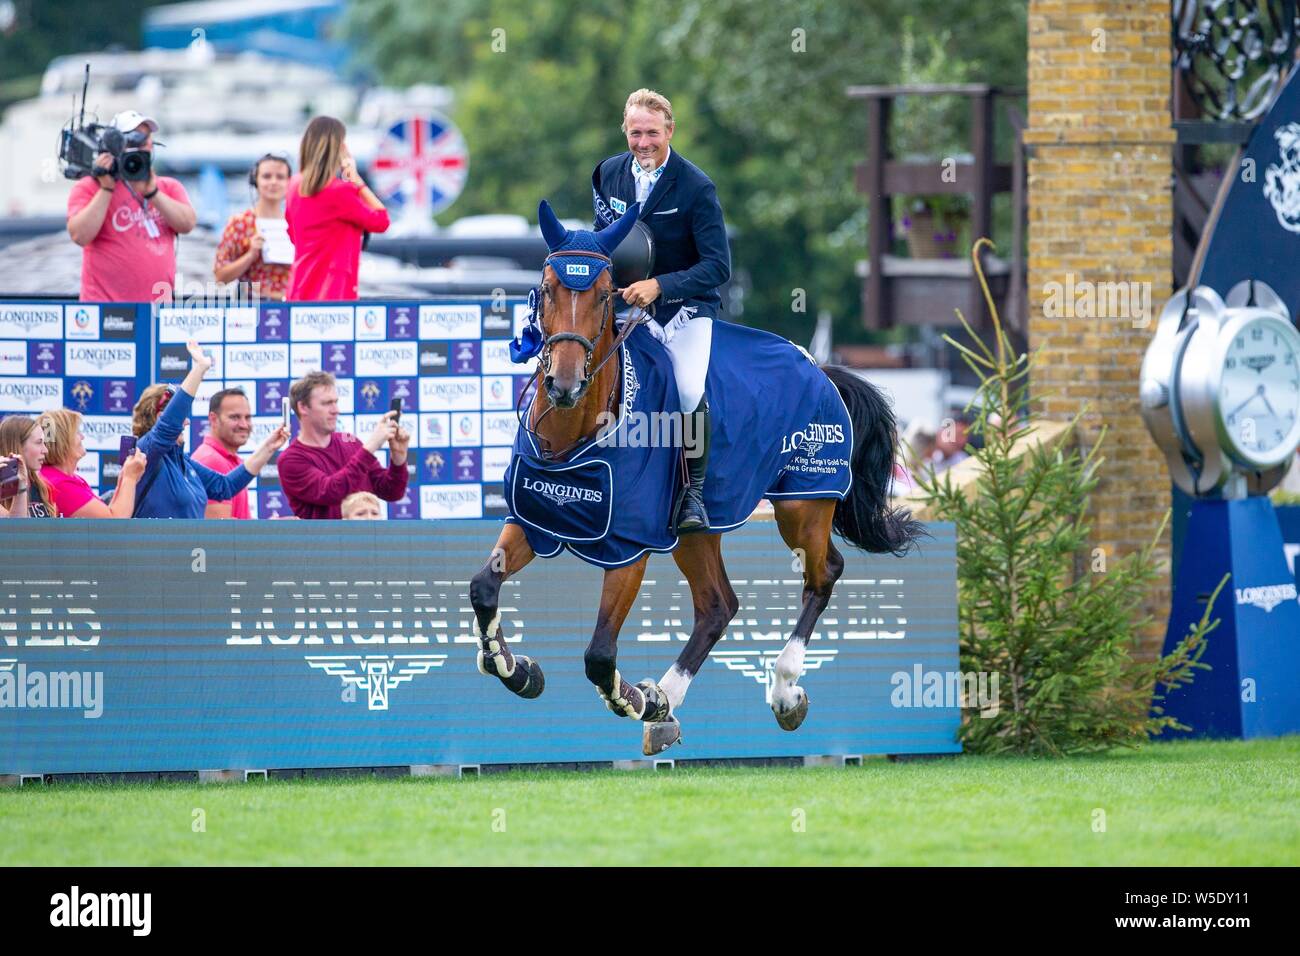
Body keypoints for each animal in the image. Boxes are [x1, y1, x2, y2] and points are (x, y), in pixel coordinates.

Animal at [473, 204, 920, 754]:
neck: (575, 429)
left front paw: (634, 699)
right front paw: (517, 669)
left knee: (823, 573)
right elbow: (483, 588)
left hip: (803, 502)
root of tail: (818, 366)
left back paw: (781, 690)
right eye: (548, 286)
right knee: (717, 605)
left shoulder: (629, 546)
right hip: (697, 530)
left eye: (604, 294)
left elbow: (599, 655)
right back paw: (668, 700)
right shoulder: (537, 519)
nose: (564, 385)